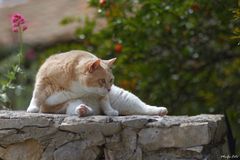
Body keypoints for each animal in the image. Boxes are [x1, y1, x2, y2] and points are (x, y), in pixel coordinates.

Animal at [26, 50, 168, 116]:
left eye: (111, 80)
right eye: (102, 80)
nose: (109, 89)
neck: (79, 88)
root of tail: (97, 110)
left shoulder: (103, 95)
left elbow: (105, 102)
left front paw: (110, 111)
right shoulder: (43, 81)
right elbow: (36, 96)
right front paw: (32, 108)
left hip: (125, 97)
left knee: (143, 108)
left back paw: (160, 110)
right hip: (72, 103)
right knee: (80, 110)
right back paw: (83, 110)